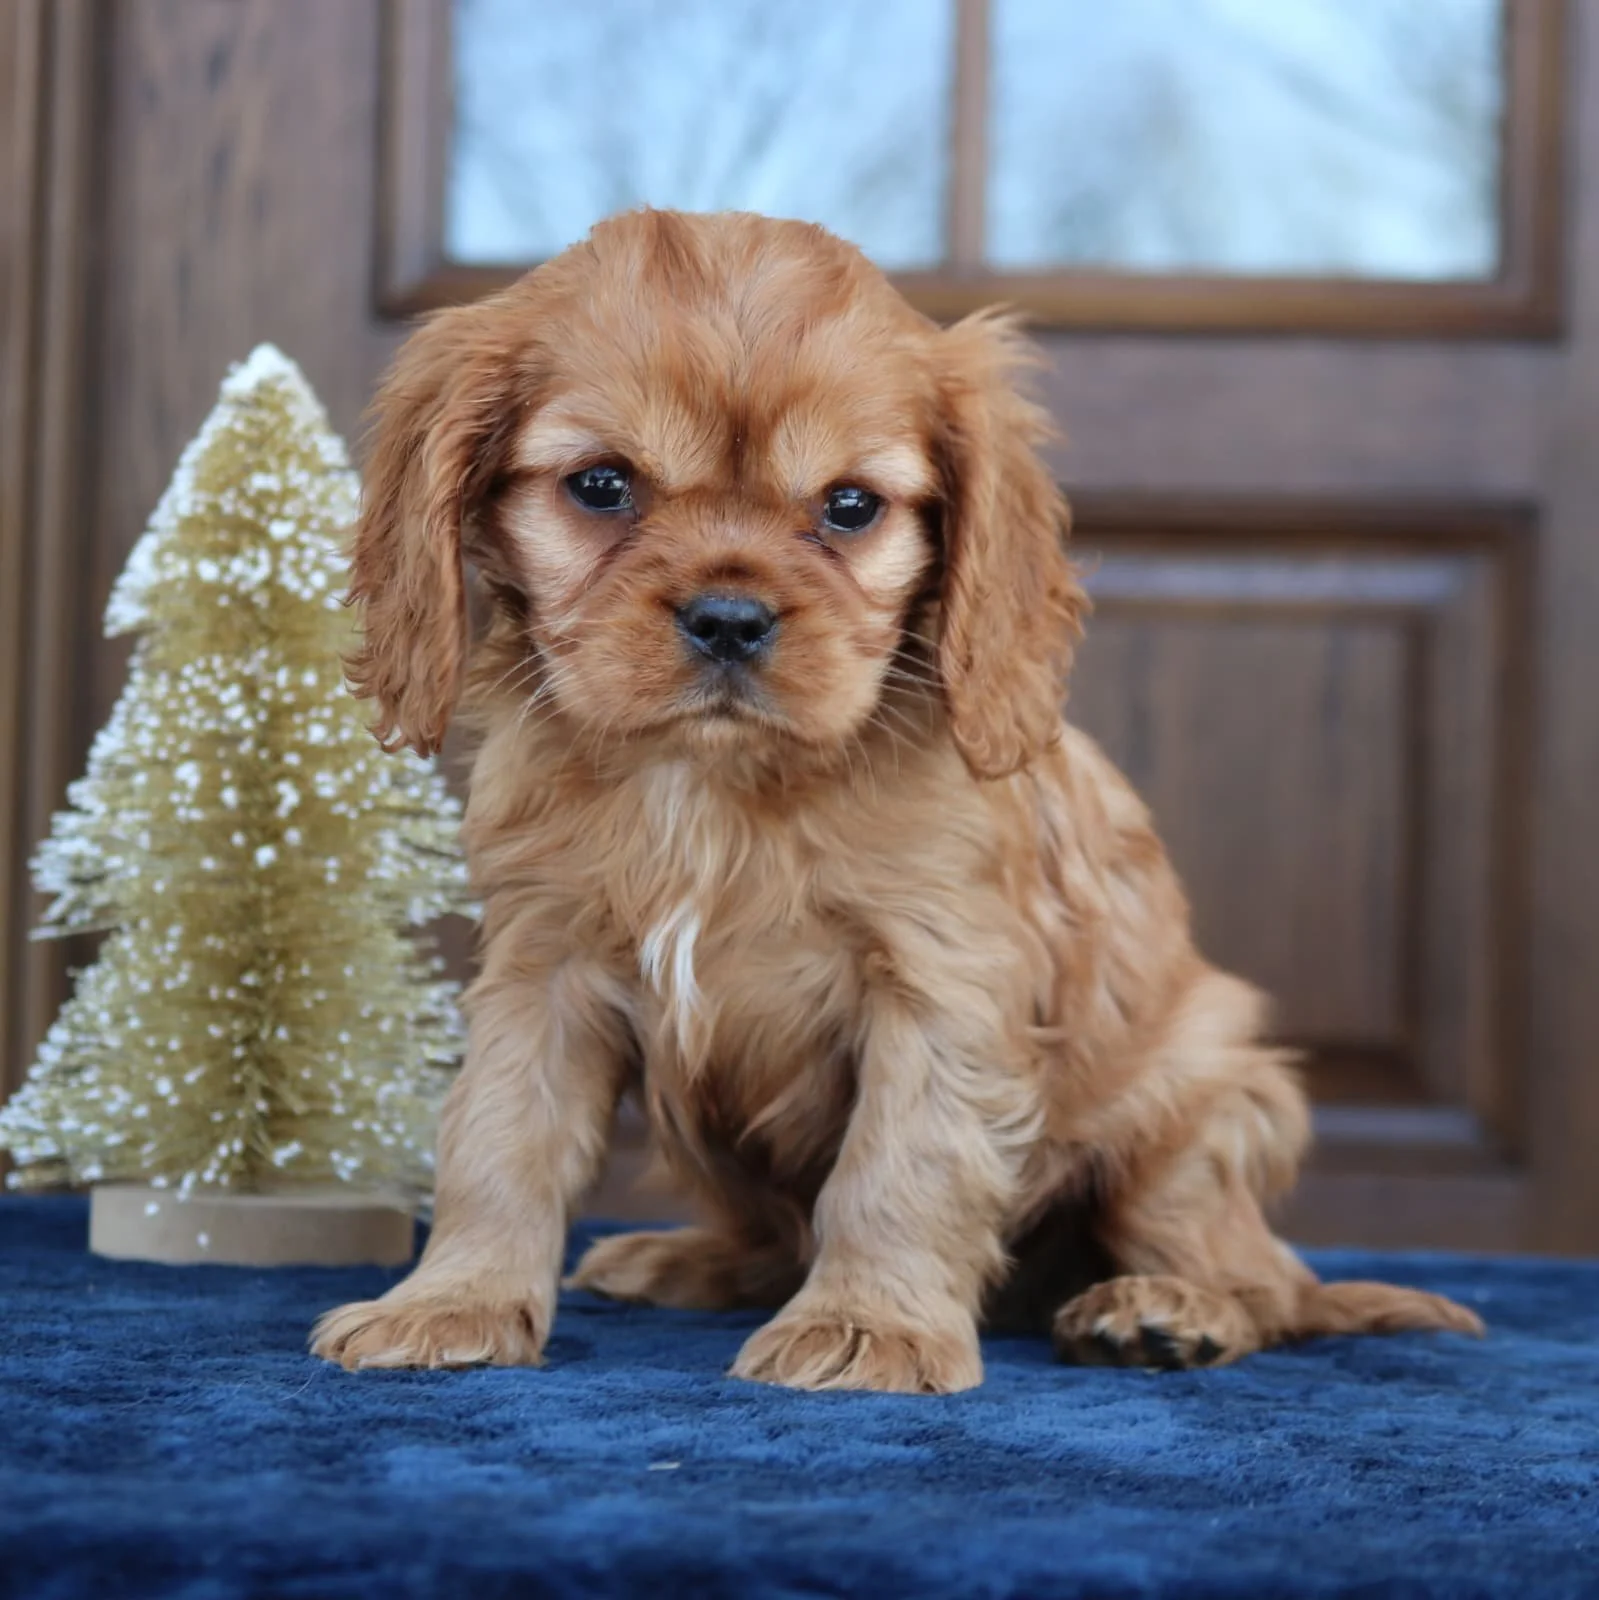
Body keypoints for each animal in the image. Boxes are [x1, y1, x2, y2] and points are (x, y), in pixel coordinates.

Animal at [311, 209, 1481, 1391]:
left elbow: (899, 1162)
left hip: (1191, 1102)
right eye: (601, 486)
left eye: (849, 507)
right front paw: (454, 1302)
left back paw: (1163, 1309)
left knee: (1264, 1286)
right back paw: (684, 1258)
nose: (729, 616)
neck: (712, 782)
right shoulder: (540, 966)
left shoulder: (939, 978)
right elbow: (499, 1137)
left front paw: (867, 1327)